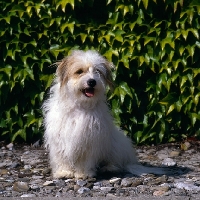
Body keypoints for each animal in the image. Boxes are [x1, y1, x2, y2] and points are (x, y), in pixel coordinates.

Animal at [42, 50, 169, 179]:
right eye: (79, 71)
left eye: (97, 71)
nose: (92, 81)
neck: (80, 106)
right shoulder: (59, 140)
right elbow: (62, 158)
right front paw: (64, 172)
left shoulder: (89, 140)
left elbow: (85, 160)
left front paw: (83, 173)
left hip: (117, 145)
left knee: (117, 162)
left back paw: (109, 168)